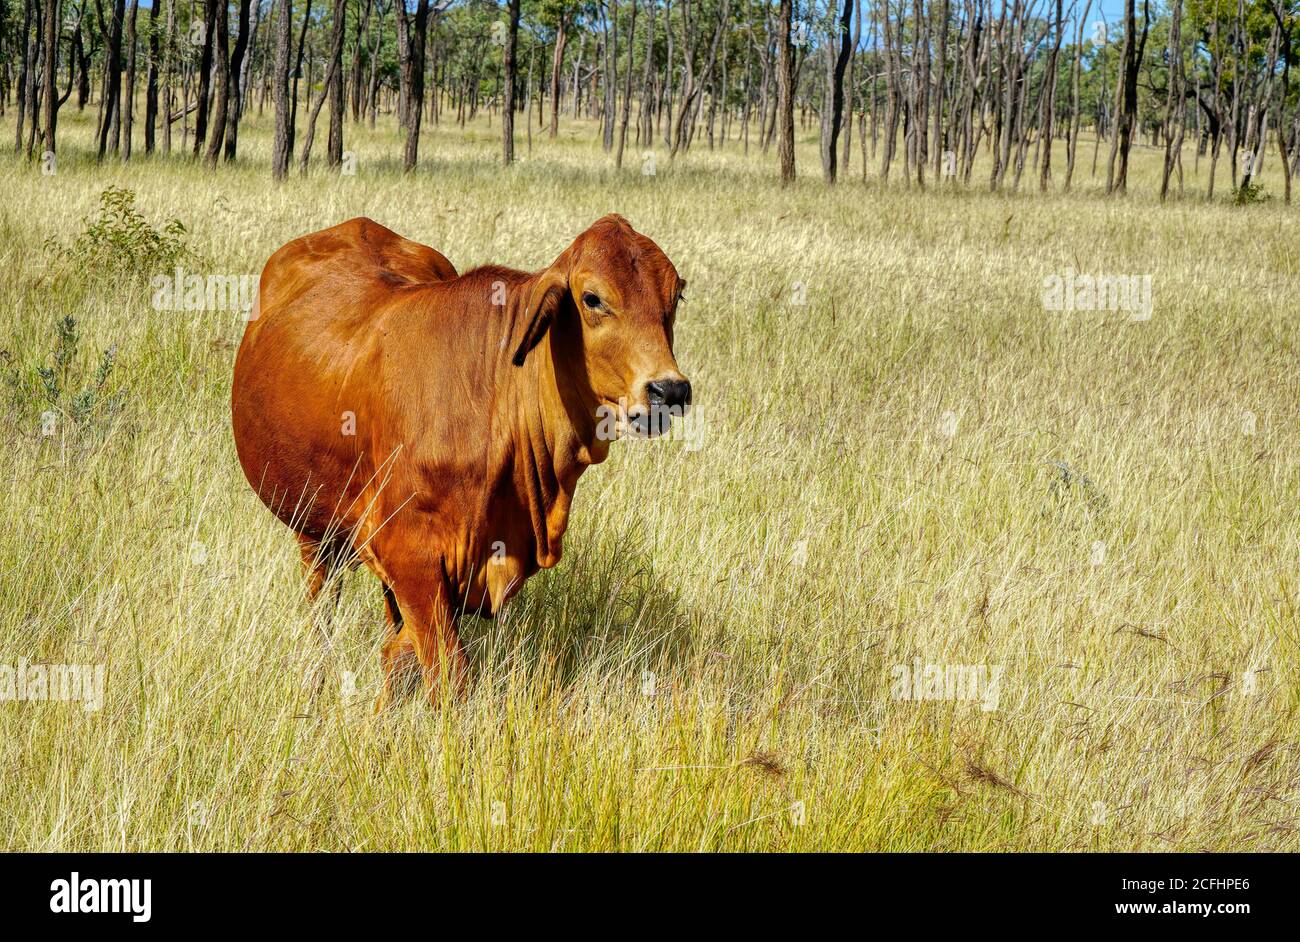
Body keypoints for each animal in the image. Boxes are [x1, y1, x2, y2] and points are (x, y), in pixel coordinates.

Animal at [230, 215, 690, 709]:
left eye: (675, 296)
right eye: (592, 298)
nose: (670, 390)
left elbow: (401, 653)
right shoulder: (406, 553)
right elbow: (447, 672)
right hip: (312, 527)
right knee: (320, 610)